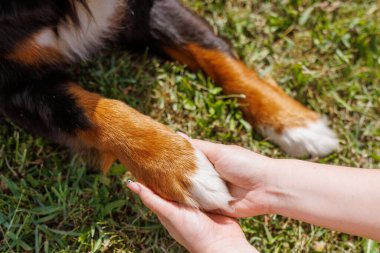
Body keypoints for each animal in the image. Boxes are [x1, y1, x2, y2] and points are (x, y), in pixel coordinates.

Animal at [0, 0, 338, 211]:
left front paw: (294, 122)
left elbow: (214, 51)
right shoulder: (15, 86)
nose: (292, 121)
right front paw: (182, 167)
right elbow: (90, 111)